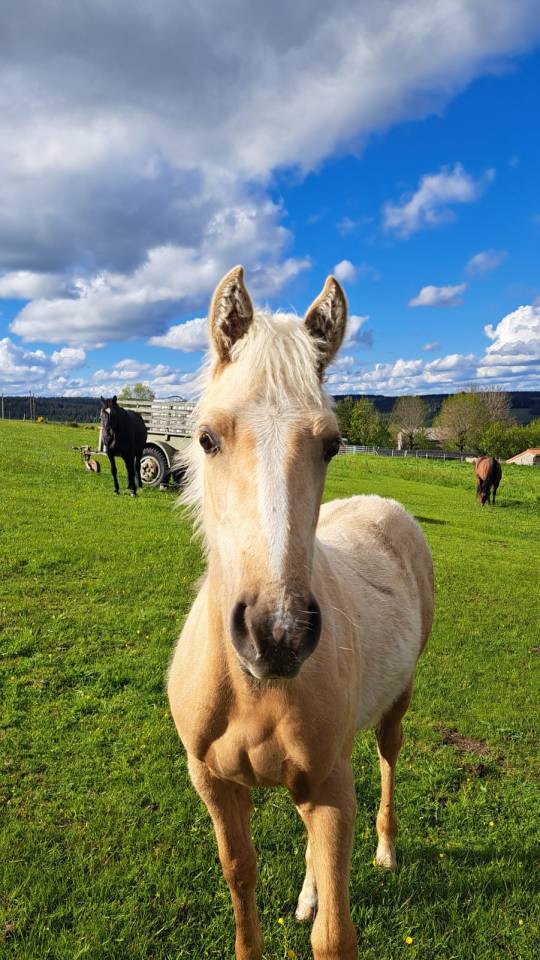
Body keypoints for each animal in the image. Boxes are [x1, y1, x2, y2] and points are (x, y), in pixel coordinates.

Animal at [167, 266, 434, 960]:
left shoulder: (333, 791)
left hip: (395, 708)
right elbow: (241, 880)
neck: (250, 691)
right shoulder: (214, 785)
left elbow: (334, 937)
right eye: (206, 438)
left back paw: (386, 850)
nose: (277, 635)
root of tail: (385, 505)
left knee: (388, 759)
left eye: (332, 444)